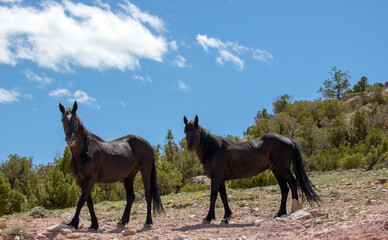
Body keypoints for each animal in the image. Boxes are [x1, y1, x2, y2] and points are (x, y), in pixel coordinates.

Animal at [58, 101, 163, 231]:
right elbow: (88, 201)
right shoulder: (80, 180)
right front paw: (93, 224)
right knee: (131, 196)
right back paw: (122, 221)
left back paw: (148, 222)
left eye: (75, 120)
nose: (70, 139)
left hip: (145, 170)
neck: (84, 152)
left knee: (148, 195)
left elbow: (81, 200)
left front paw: (73, 223)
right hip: (129, 175)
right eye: (63, 120)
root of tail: (147, 144)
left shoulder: (90, 179)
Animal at [183, 115, 320, 224]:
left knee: (292, 183)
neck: (214, 150)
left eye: (196, 131)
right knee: (284, 189)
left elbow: (213, 196)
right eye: (186, 131)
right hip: (276, 170)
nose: (189, 148)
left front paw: (208, 217)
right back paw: (280, 212)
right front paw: (227, 216)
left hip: (283, 168)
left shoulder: (216, 178)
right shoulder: (221, 179)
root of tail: (289, 139)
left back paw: (294, 208)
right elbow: (223, 197)